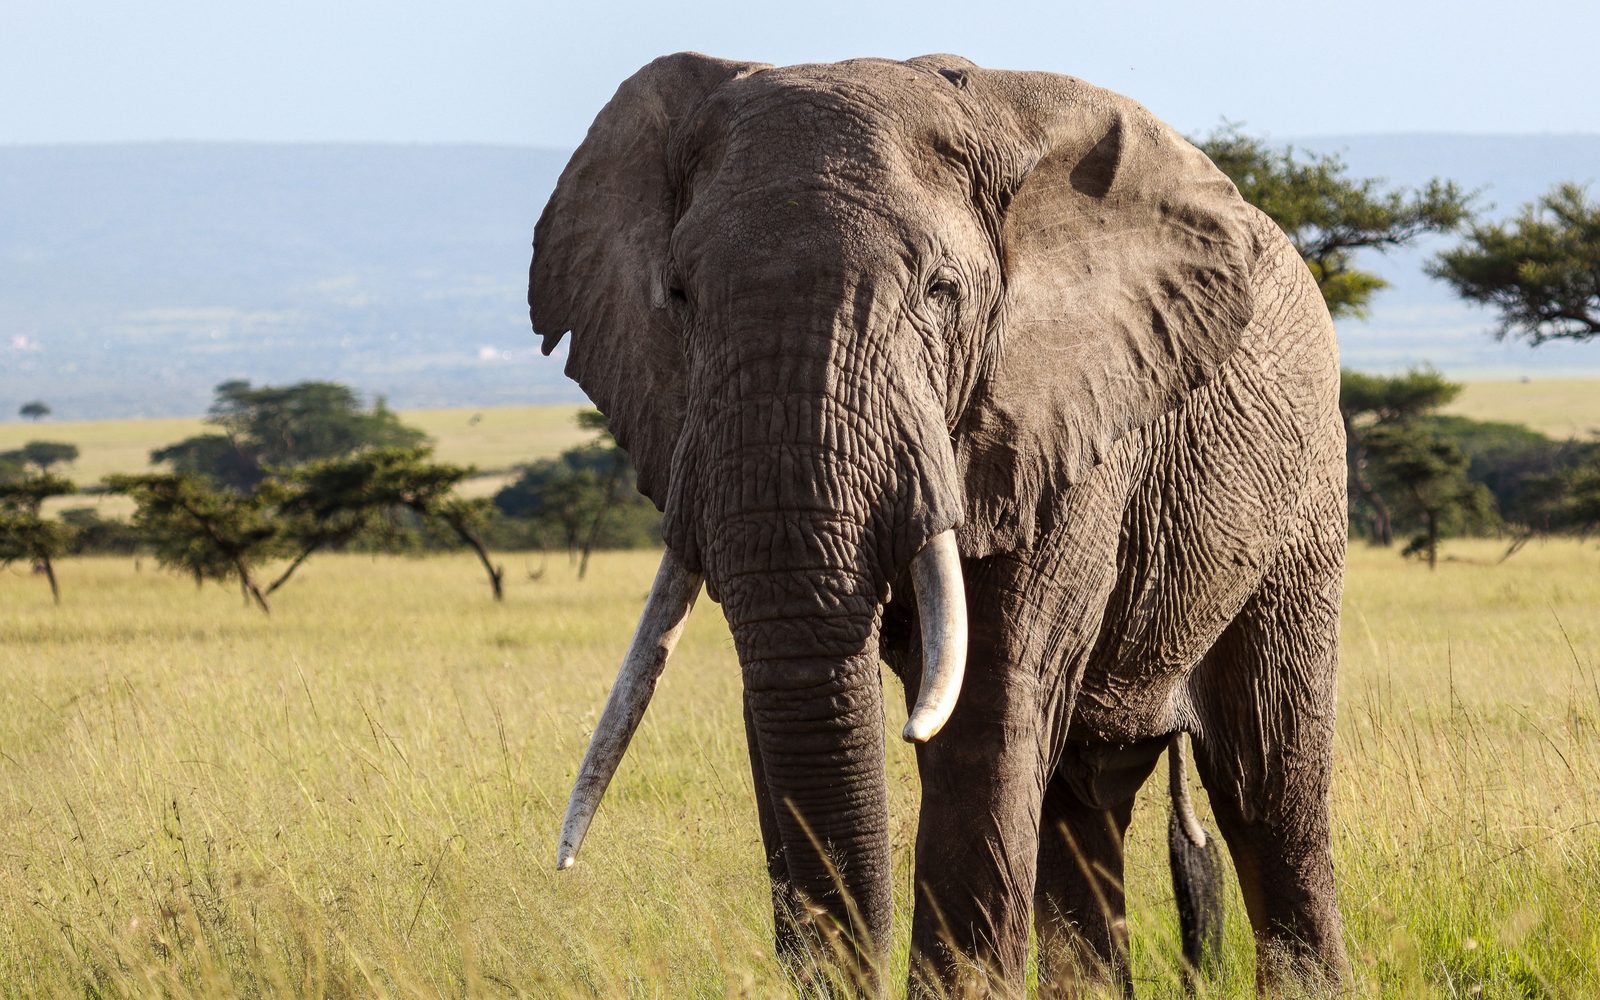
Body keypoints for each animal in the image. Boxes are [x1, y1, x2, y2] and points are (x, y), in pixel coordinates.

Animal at [530, 52, 1348, 997]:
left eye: (940, 292)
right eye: (678, 295)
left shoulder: (1064, 419)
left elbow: (984, 710)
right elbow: (776, 690)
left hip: (1304, 492)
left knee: (1265, 783)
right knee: (1088, 793)